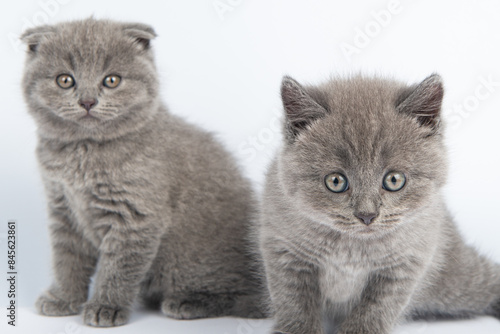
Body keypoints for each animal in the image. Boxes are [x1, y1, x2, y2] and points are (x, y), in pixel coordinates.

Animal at [21, 18, 268, 326]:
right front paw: (62, 299)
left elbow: (118, 267)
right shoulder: (63, 208)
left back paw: (187, 302)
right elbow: (67, 258)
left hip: (191, 264)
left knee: (250, 300)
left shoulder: (135, 215)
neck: (84, 152)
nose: (87, 101)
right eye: (64, 80)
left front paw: (106, 307)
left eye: (111, 80)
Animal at [260, 73, 500, 334]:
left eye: (394, 180)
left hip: (456, 280)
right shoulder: (285, 253)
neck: (352, 250)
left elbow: (374, 312)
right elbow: (295, 307)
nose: (367, 215)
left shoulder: (406, 263)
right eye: (336, 181)